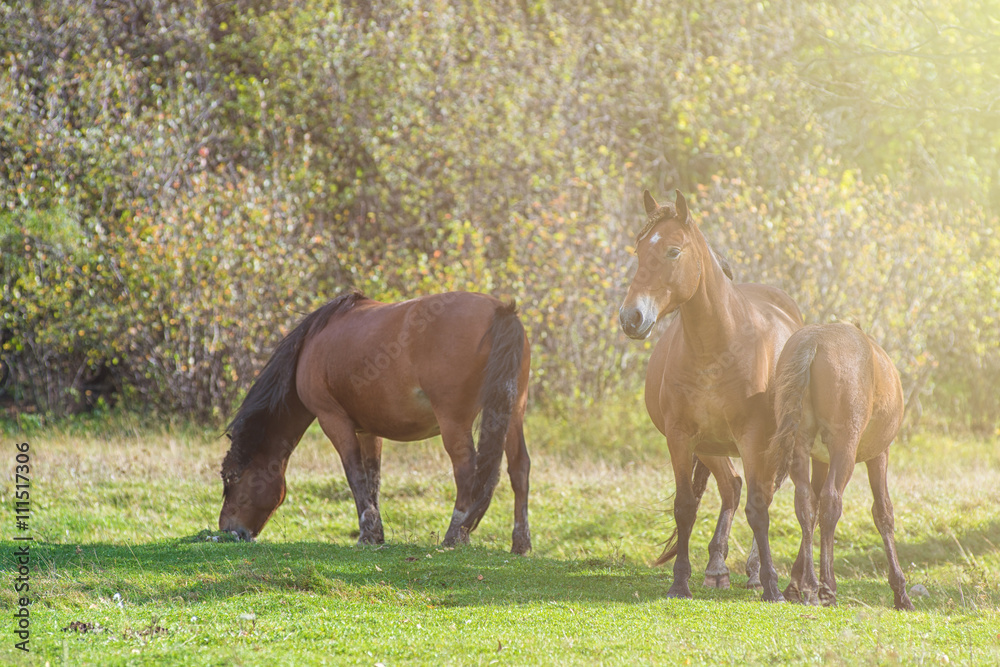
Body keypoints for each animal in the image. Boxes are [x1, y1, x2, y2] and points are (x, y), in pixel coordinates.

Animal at [219, 291, 532, 554]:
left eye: (233, 479)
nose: (227, 531)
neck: (311, 343)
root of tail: (499, 310)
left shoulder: (333, 420)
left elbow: (355, 475)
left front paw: (367, 534)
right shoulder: (370, 431)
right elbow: (373, 480)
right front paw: (377, 534)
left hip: (454, 421)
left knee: (467, 471)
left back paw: (455, 536)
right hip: (514, 412)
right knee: (519, 468)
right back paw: (520, 543)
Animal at [619, 189, 803, 601]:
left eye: (673, 251)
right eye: (639, 249)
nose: (631, 318)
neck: (716, 350)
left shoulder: (752, 438)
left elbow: (758, 510)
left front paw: (772, 586)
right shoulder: (680, 436)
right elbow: (685, 506)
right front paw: (679, 581)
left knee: (763, 493)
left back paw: (754, 572)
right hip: (711, 446)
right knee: (731, 487)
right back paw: (717, 568)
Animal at [770, 322, 914, 610]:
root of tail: (814, 342)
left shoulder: (819, 460)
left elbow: (812, 511)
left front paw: (794, 583)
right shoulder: (879, 455)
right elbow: (883, 513)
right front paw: (900, 590)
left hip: (800, 446)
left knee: (805, 501)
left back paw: (809, 585)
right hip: (844, 449)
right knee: (831, 501)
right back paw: (826, 586)